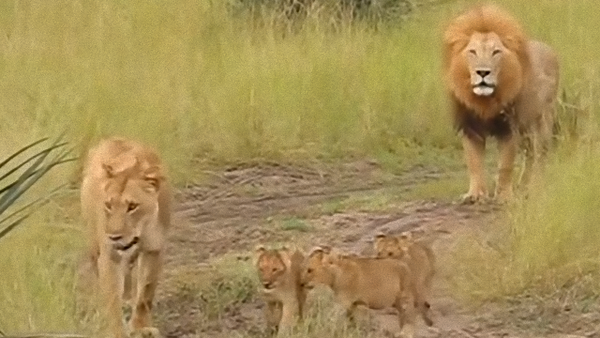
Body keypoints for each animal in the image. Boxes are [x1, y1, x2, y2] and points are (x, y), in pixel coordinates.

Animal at [79, 137, 171, 338]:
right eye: (108, 205)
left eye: (132, 206)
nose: (114, 237)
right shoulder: (110, 256)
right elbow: (112, 299)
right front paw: (117, 331)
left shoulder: (155, 249)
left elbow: (145, 294)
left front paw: (140, 327)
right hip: (93, 241)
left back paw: (128, 298)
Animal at [442, 3, 560, 202]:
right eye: (472, 52)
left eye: (496, 52)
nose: (483, 72)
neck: (485, 101)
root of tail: (549, 49)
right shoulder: (470, 128)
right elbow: (474, 163)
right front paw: (475, 194)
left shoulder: (509, 128)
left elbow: (505, 165)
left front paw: (504, 195)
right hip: (527, 129)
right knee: (530, 156)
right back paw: (523, 187)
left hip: (541, 122)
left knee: (539, 155)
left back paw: (535, 188)